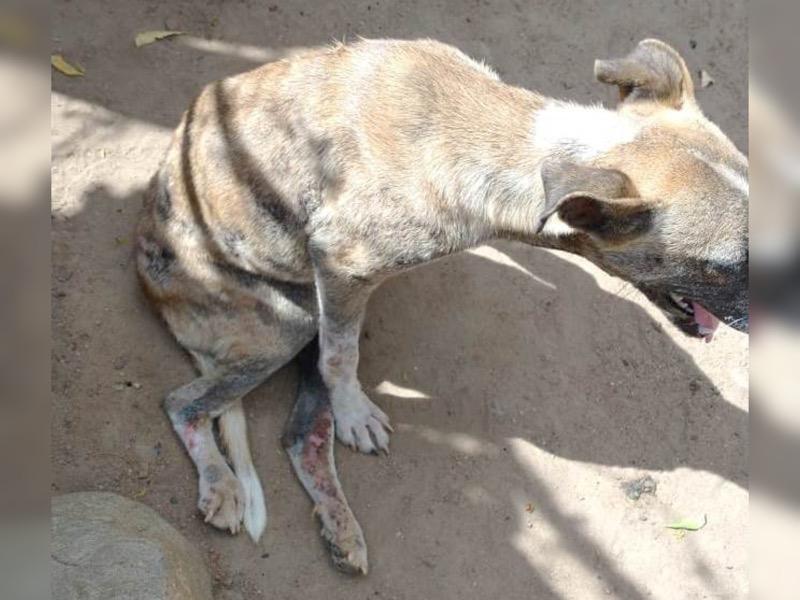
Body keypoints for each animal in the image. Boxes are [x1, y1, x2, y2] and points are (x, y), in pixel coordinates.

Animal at [136, 37, 744, 572]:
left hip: (307, 325)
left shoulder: (345, 288)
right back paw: (221, 484)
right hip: (290, 323)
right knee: (183, 403)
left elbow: (337, 363)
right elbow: (342, 359)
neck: (503, 145)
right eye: (725, 263)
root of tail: (148, 274)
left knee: (300, 436)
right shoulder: (341, 267)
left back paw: (340, 527)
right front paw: (355, 410)